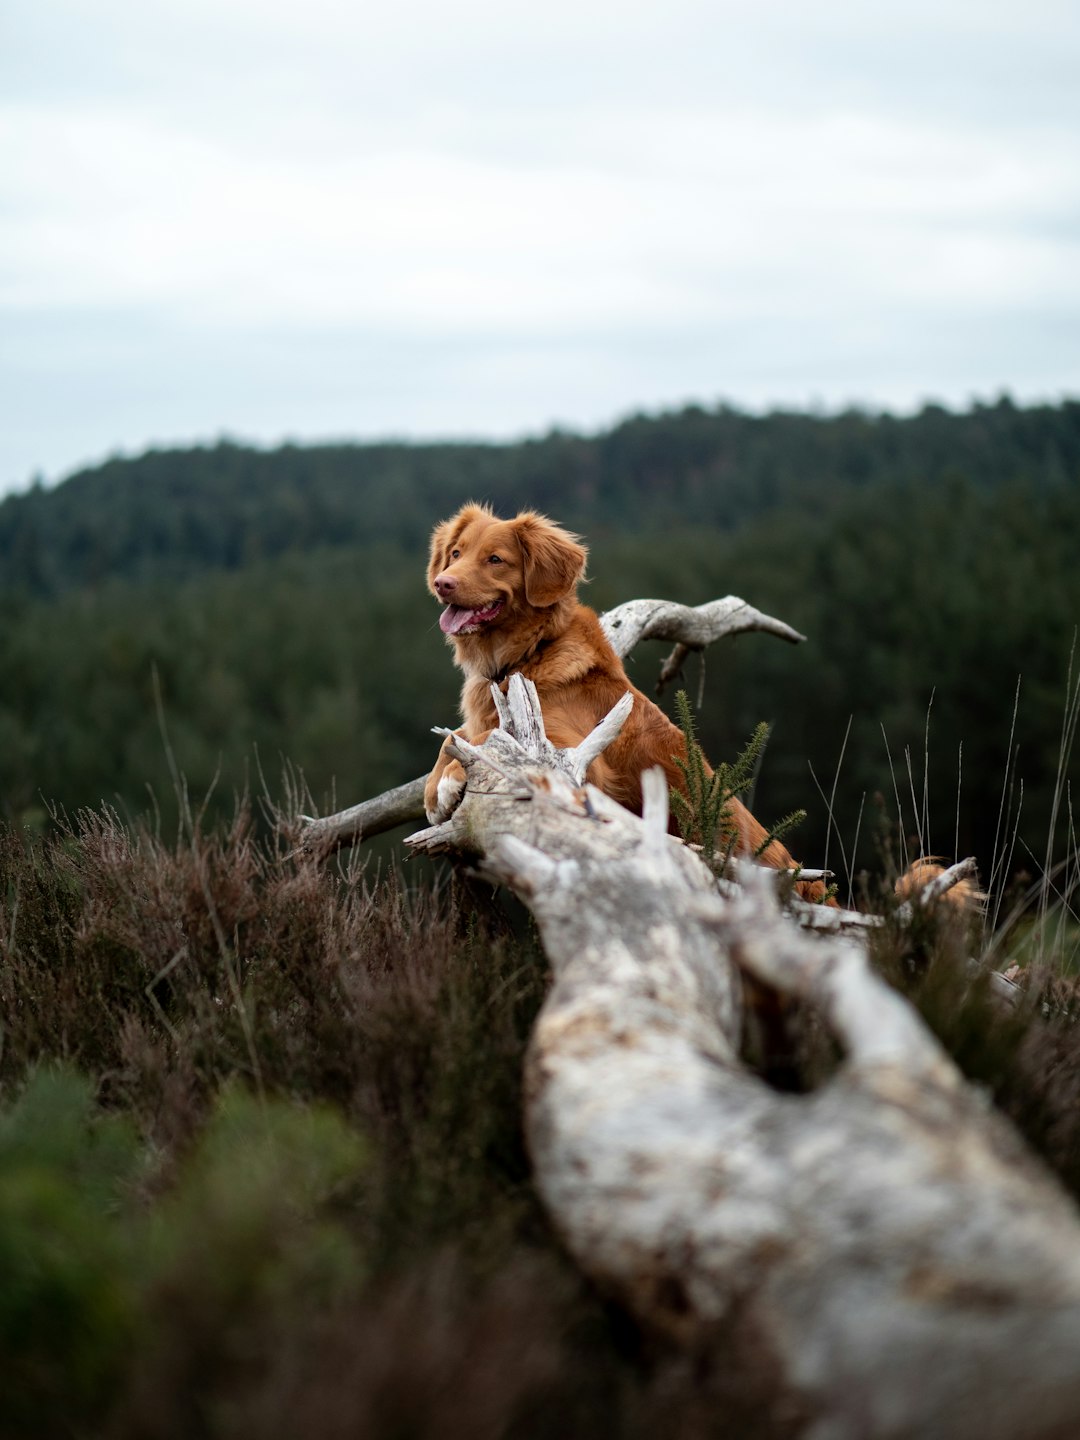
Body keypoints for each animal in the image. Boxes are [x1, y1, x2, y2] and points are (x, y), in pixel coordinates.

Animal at [426, 504, 817, 887]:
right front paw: (432, 790)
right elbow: (454, 737)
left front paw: (448, 783)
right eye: (456, 553)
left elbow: (483, 738)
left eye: (495, 559)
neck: (530, 651)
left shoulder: (568, 753)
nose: (442, 583)